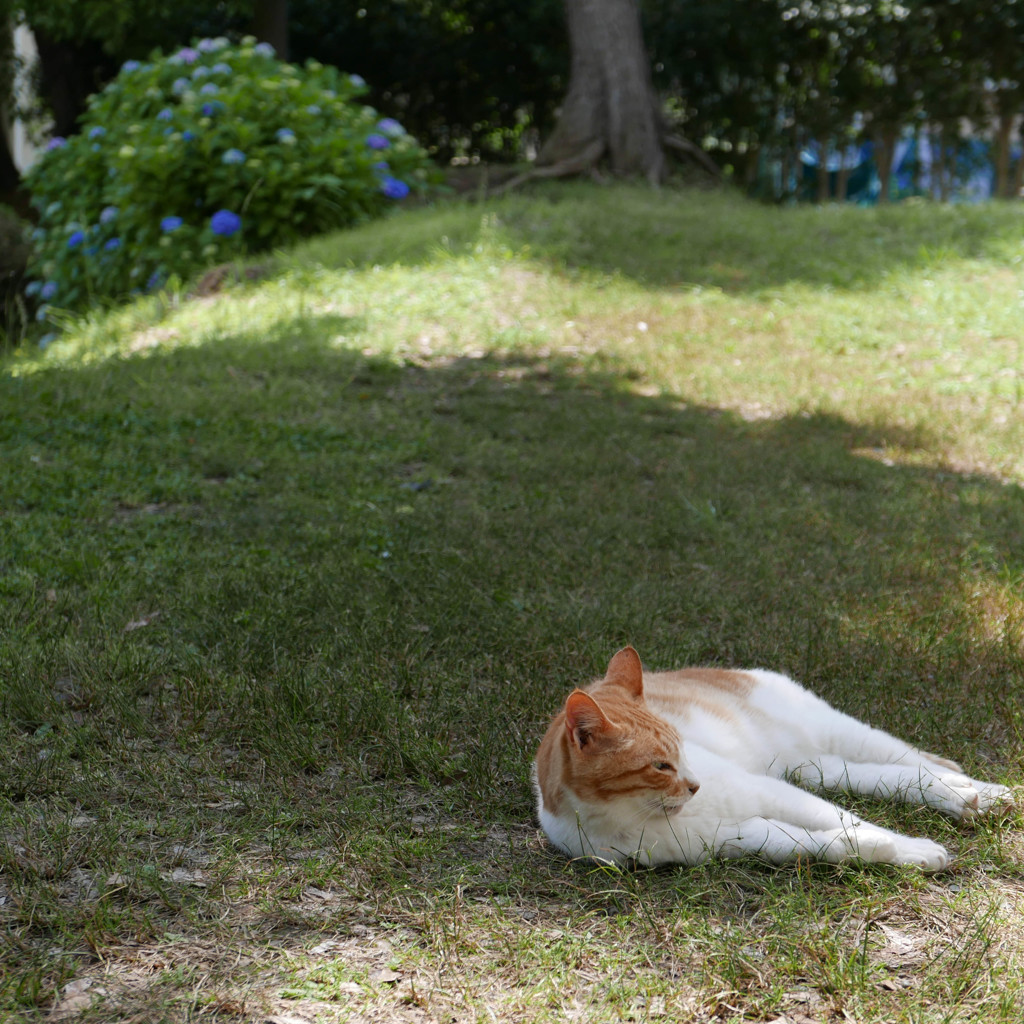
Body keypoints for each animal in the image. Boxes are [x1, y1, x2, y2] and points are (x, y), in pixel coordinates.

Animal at [532, 647, 1011, 872]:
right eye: (660, 766)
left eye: (681, 749)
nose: (695, 784)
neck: (633, 816)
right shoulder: (736, 835)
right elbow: (810, 841)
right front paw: (877, 850)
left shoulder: (769, 792)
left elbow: (846, 819)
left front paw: (911, 847)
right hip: (811, 768)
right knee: (880, 776)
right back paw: (968, 798)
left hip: (835, 733)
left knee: (917, 762)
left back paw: (983, 794)